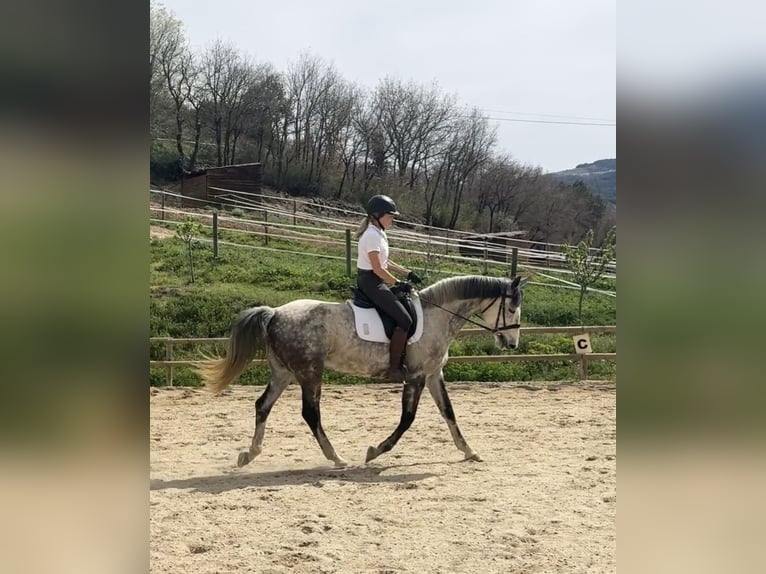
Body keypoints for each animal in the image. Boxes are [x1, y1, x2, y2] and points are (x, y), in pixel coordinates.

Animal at [198, 274, 528, 468]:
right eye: (512, 308)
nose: (511, 343)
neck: (437, 316)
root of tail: (275, 312)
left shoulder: (434, 375)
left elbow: (449, 412)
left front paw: (469, 451)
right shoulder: (416, 376)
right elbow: (408, 419)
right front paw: (376, 451)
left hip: (284, 372)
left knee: (262, 406)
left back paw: (249, 454)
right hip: (309, 372)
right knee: (310, 413)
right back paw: (336, 458)